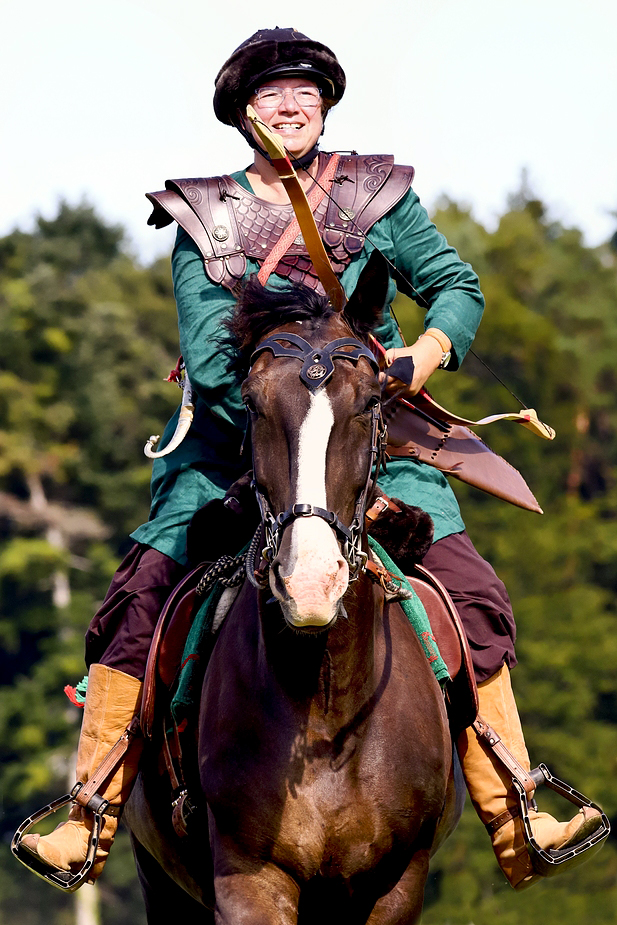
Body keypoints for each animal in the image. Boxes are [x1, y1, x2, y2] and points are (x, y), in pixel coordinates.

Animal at [125, 253, 462, 924]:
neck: (327, 718)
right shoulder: (250, 881)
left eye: (370, 402)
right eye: (253, 405)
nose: (309, 584)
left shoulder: (398, 885)